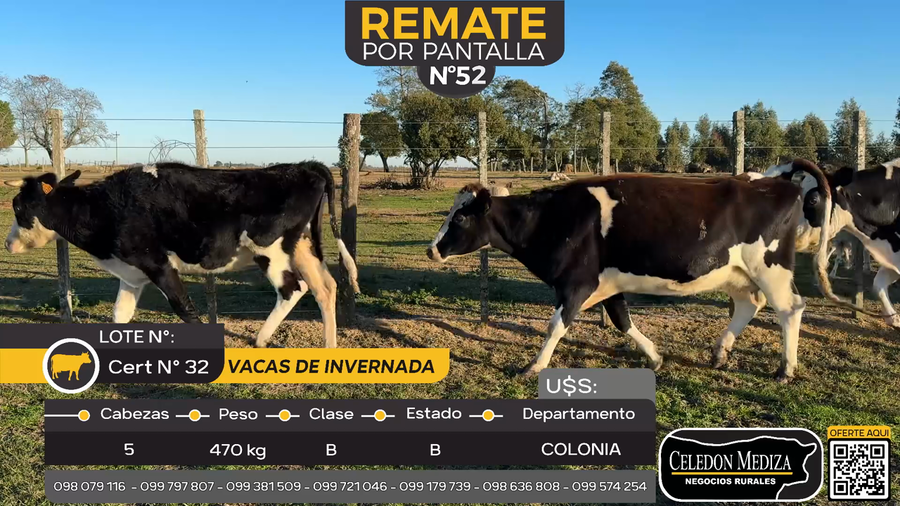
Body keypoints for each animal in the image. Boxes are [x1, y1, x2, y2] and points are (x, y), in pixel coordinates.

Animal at [4, 161, 359, 348]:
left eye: (19, 208)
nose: (7, 244)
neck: (106, 207)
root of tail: (301, 166)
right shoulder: (132, 274)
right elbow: (120, 315)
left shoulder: (158, 264)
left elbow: (184, 308)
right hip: (303, 247)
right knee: (324, 287)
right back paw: (329, 346)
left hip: (269, 250)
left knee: (292, 289)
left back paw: (261, 339)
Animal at [427, 160, 844, 383]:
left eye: (460, 217)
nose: (432, 249)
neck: (552, 218)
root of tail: (775, 182)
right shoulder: (607, 286)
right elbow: (622, 321)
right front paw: (655, 357)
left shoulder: (576, 283)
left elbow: (556, 326)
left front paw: (533, 366)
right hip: (736, 271)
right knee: (748, 305)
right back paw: (719, 353)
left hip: (770, 268)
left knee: (789, 309)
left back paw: (785, 369)